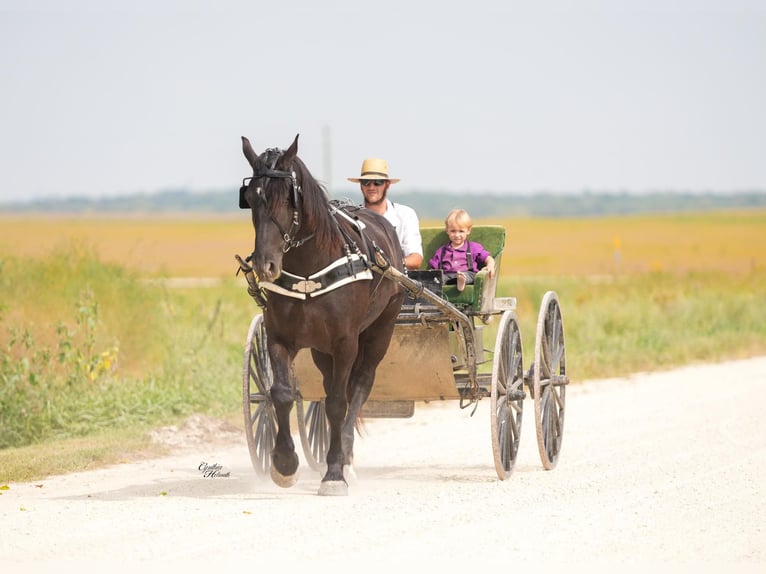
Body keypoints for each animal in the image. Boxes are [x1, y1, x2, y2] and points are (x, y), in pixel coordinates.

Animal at [238, 134, 406, 496]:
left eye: (288, 198)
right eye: (251, 198)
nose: (264, 265)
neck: (308, 271)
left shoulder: (345, 343)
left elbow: (338, 403)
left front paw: (334, 472)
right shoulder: (279, 337)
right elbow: (281, 394)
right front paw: (284, 463)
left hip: (379, 331)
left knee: (359, 386)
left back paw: (344, 456)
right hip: (319, 348)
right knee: (330, 385)